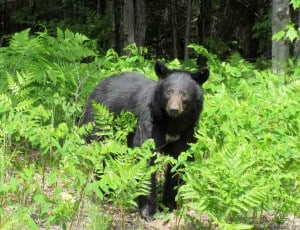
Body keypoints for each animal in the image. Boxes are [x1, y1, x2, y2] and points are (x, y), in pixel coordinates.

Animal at [82, 60, 209, 219]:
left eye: (184, 93)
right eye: (168, 92)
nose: (173, 109)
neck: (172, 123)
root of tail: (99, 83)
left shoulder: (187, 130)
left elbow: (179, 161)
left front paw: (170, 205)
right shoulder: (151, 122)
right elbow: (146, 156)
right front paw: (148, 211)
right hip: (100, 120)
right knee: (99, 150)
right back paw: (106, 190)